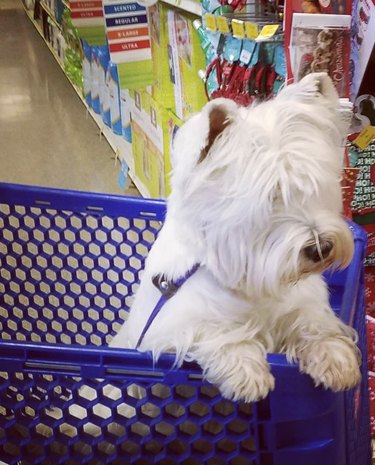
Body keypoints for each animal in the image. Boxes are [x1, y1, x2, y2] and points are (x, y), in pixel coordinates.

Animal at [110, 72, 362, 402]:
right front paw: (246, 372)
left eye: (311, 187)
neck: (248, 285)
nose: (322, 248)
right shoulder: (165, 331)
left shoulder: (299, 301)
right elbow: (212, 330)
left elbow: (313, 321)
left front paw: (335, 358)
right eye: (270, 198)